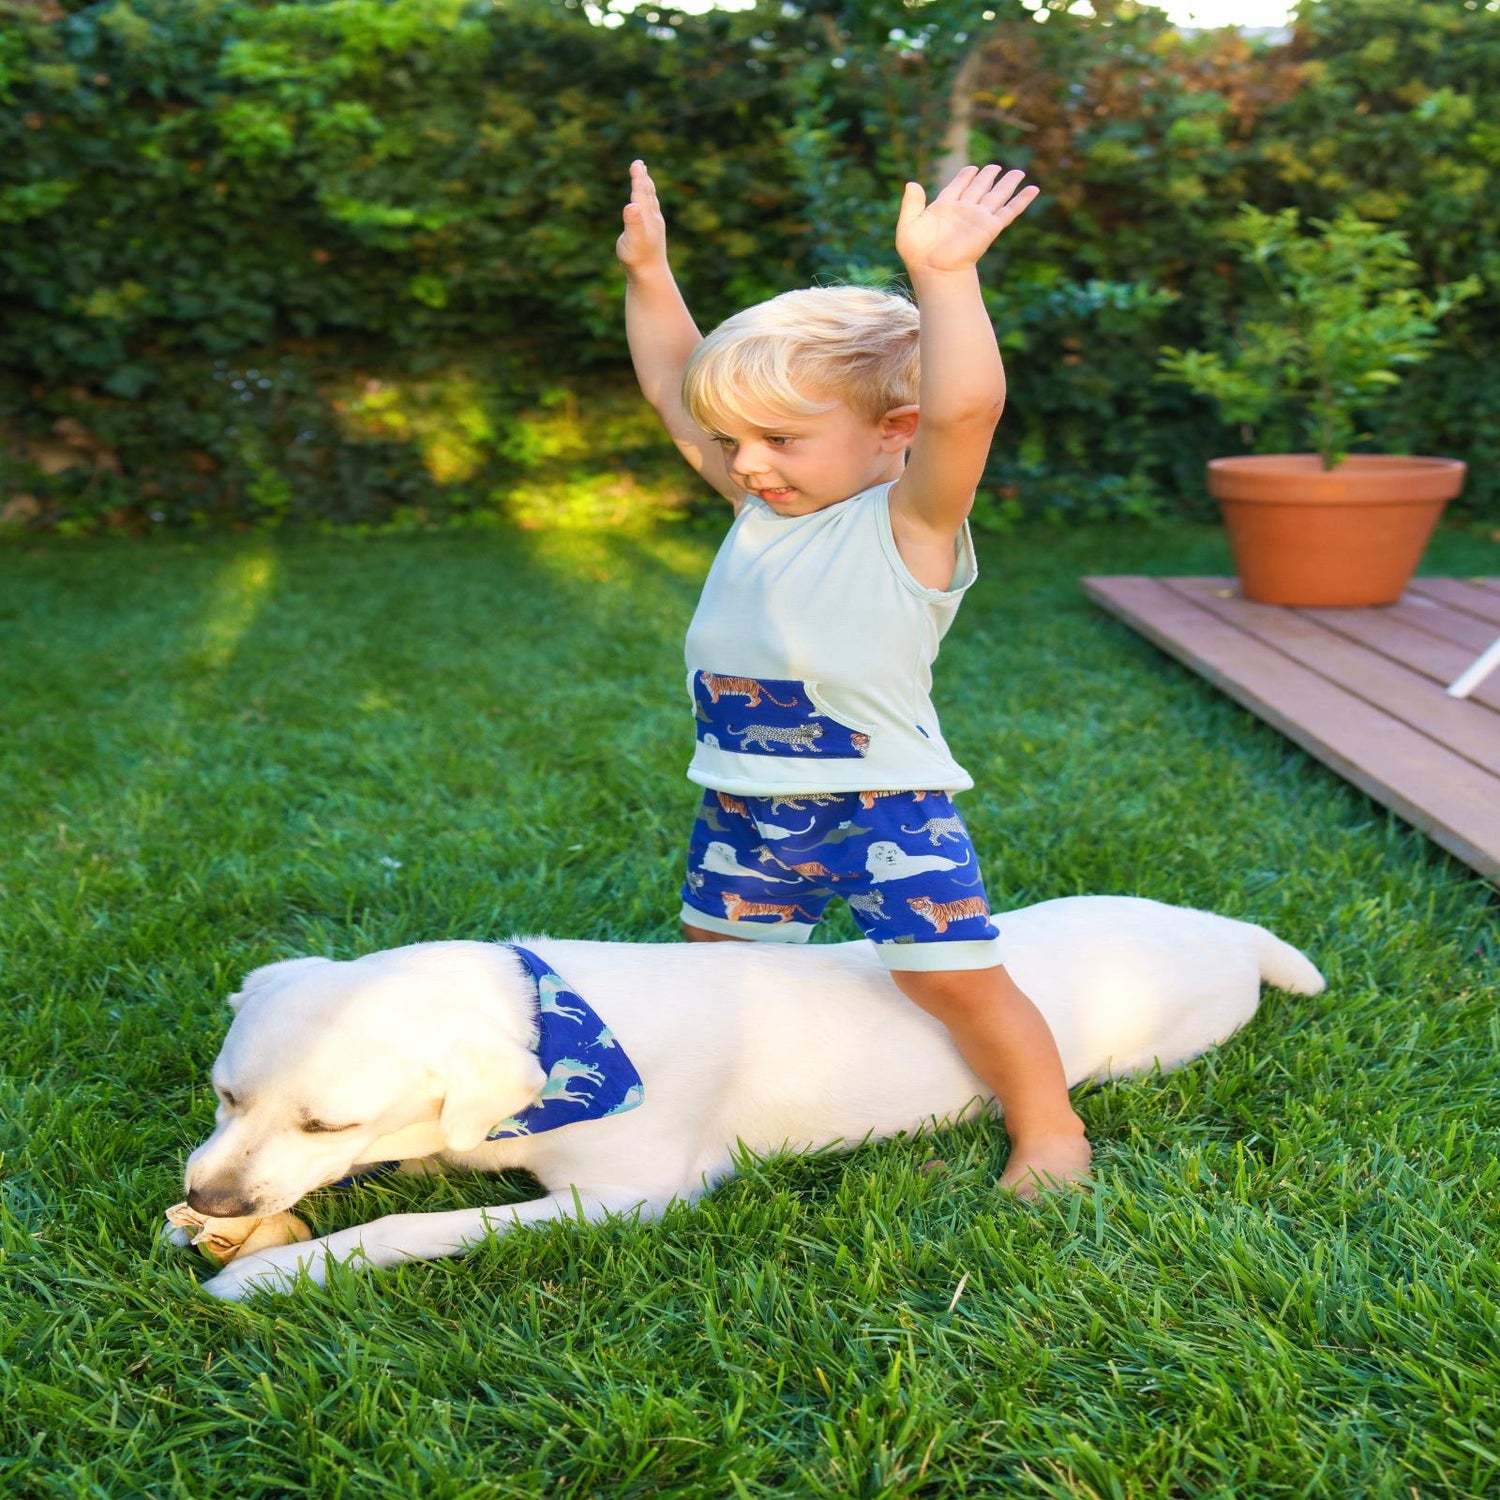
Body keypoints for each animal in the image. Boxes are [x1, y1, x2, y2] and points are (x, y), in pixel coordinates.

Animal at [178, 900, 1326, 1302]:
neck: (557, 1025)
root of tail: (1231, 930)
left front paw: (271, 1272)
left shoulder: (631, 1200)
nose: (217, 1201)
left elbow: (416, 1225)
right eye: (225, 1095)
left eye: (329, 1120)